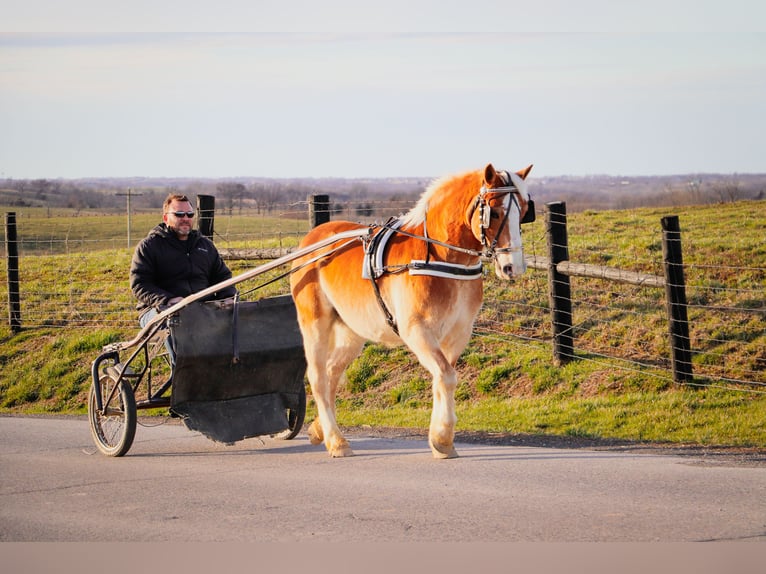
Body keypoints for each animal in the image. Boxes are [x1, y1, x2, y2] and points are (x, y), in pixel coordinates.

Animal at [288, 164, 536, 462]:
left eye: (524, 211)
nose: (514, 267)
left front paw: (441, 439)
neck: (439, 256)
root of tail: (311, 240)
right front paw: (442, 438)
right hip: (315, 322)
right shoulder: (416, 330)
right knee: (318, 378)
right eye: (495, 212)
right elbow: (446, 376)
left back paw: (320, 430)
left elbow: (442, 379)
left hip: (352, 331)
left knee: (331, 373)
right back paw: (336, 441)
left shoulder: (458, 333)